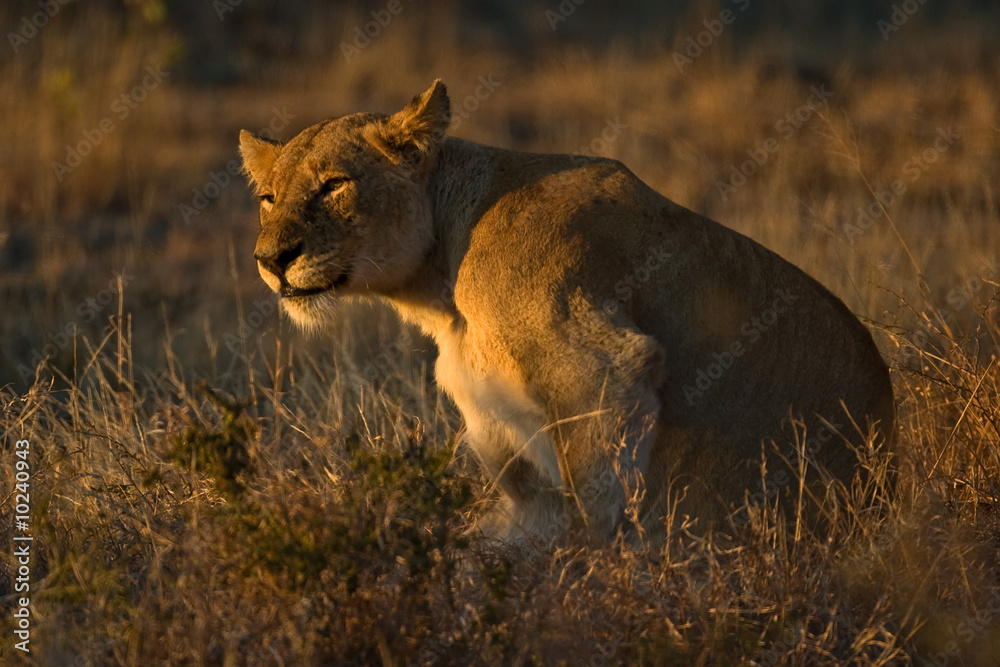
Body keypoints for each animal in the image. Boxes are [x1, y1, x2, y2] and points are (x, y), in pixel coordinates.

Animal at [239, 80, 896, 544]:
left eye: (333, 185)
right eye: (268, 198)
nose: (271, 259)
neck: (440, 289)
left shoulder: (604, 369)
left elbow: (592, 513)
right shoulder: (506, 444)